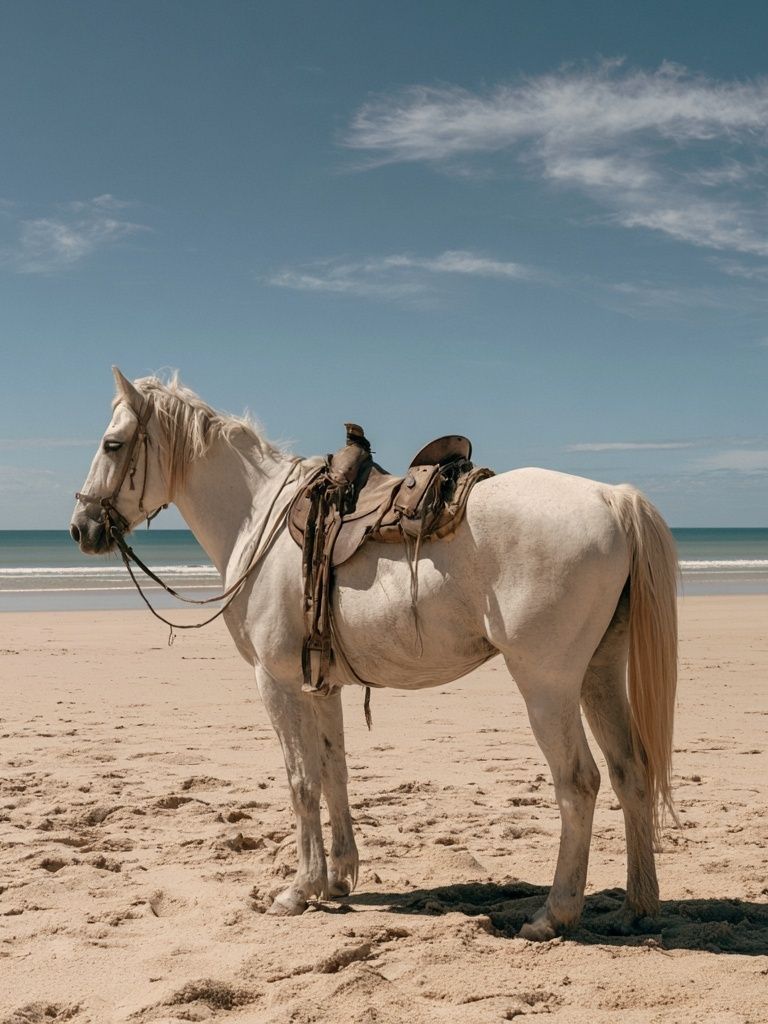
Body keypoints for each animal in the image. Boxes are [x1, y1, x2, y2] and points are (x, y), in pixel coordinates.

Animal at [70, 368, 678, 940]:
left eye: (113, 444)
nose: (81, 527)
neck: (258, 517)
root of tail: (610, 497)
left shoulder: (277, 682)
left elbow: (300, 780)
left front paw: (299, 889)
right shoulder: (323, 684)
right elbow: (333, 771)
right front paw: (338, 878)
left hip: (547, 684)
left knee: (578, 782)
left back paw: (554, 914)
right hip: (600, 671)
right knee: (629, 770)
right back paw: (637, 906)